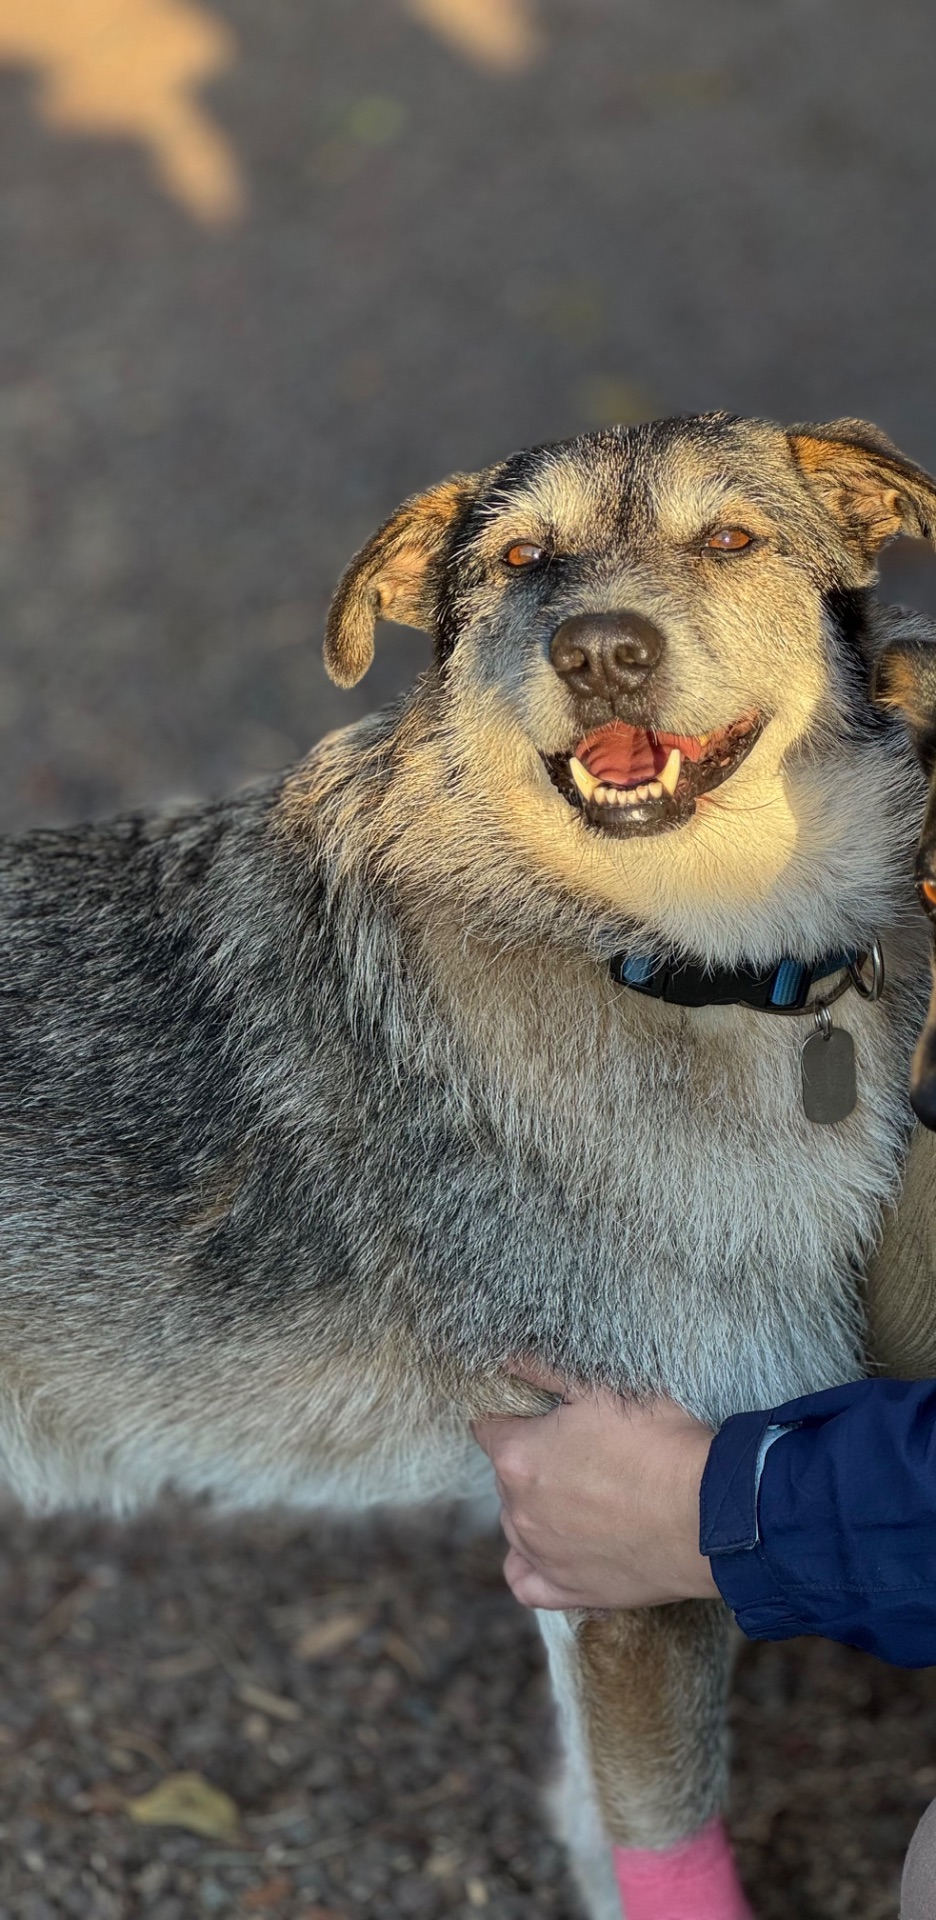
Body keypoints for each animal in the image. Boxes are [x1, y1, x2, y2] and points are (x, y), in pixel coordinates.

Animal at [1, 416, 936, 1920]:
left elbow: (600, 1816)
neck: (671, 956)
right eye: (519, 561)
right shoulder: (632, 1537)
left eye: (729, 539)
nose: (601, 651)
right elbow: (663, 1828)